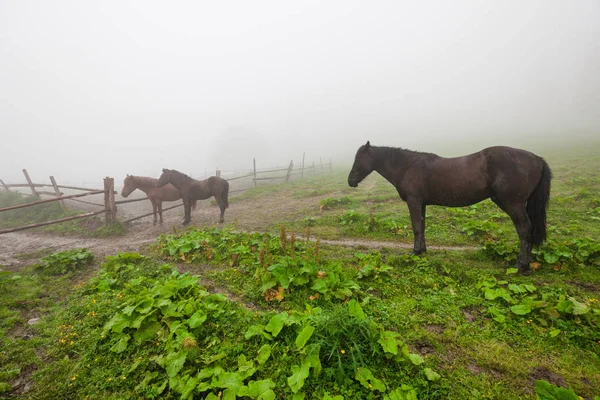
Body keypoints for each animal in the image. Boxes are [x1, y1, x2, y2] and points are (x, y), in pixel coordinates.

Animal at [350, 141, 552, 276]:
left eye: (359, 159)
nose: (350, 181)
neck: (408, 167)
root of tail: (537, 159)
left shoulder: (414, 202)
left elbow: (416, 228)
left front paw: (415, 253)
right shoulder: (421, 204)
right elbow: (422, 227)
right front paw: (422, 251)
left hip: (513, 204)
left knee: (524, 230)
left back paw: (521, 266)